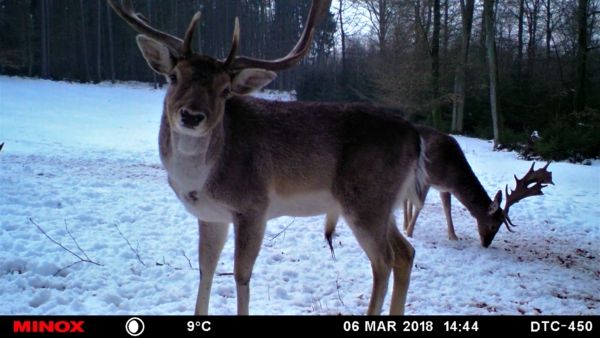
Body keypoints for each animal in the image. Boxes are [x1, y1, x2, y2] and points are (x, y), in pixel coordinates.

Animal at [106, 0, 426, 316]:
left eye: (225, 90)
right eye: (174, 77)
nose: (192, 116)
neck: (198, 182)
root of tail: (415, 135)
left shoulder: (253, 207)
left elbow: (241, 275)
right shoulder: (211, 215)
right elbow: (205, 270)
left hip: (365, 199)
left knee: (383, 261)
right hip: (384, 204)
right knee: (406, 252)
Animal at [326, 125, 556, 252]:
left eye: (500, 227)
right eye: (492, 225)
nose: (486, 244)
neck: (450, 169)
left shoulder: (445, 187)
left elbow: (448, 209)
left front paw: (453, 236)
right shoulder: (428, 179)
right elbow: (421, 205)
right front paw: (410, 232)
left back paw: (405, 221)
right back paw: (406, 223)